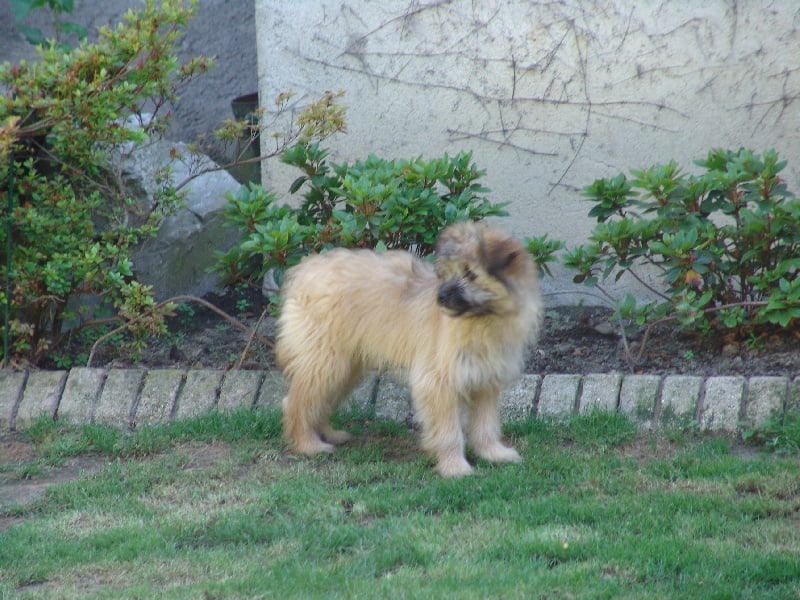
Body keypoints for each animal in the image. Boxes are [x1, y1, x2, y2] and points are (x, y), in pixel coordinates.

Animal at [276, 221, 544, 478]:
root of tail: (306, 271)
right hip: (326, 361)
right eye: (447, 272)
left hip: (344, 367)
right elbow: (449, 431)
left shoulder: (486, 381)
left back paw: (329, 433)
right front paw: (455, 467)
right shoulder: (439, 383)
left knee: (319, 402)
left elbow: (485, 426)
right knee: (295, 402)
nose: (440, 296)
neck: (482, 319)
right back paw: (308, 444)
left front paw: (493, 453)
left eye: (470, 273)